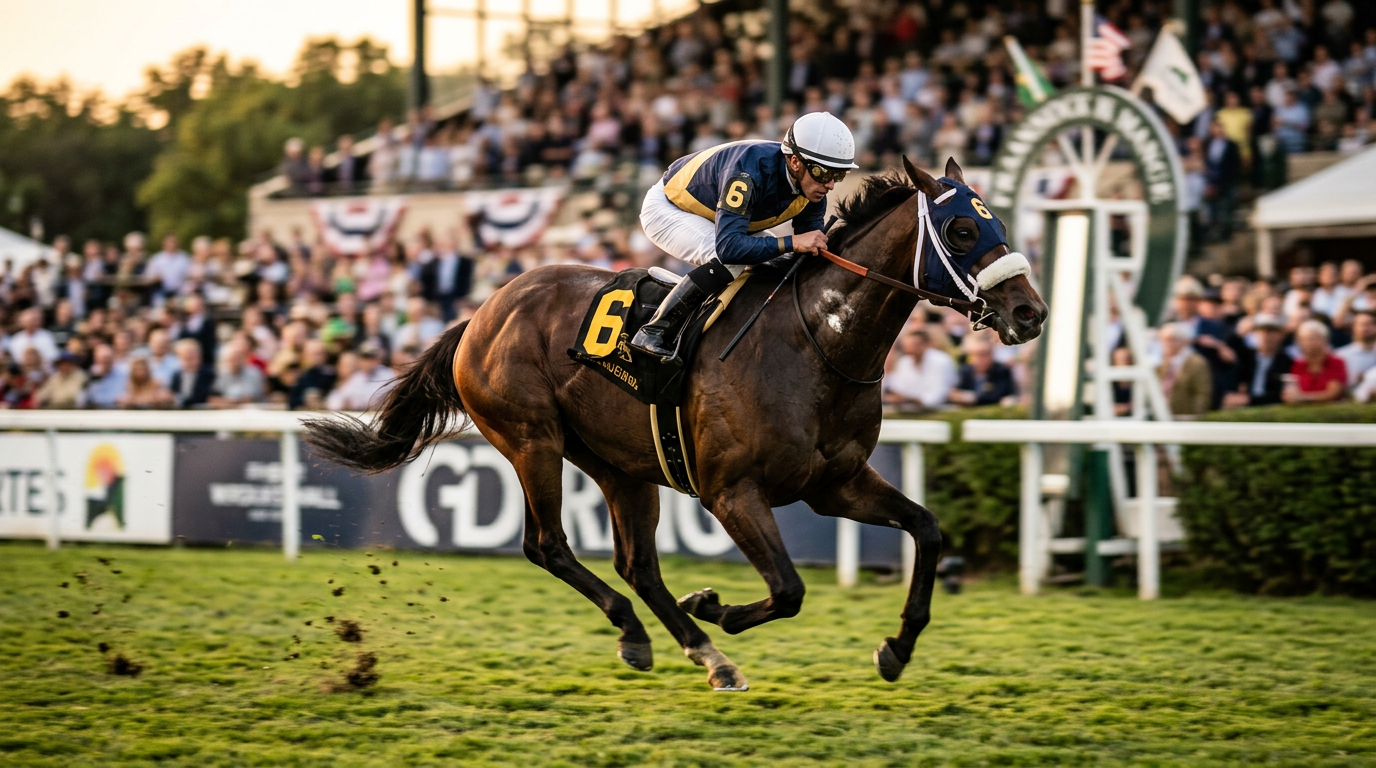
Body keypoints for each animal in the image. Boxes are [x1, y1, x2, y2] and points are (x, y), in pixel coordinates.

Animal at [304, 157, 1048, 691]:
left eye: (999, 225)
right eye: (961, 231)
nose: (1030, 313)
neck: (819, 342)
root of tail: (481, 313)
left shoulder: (834, 482)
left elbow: (927, 528)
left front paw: (896, 647)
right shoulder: (730, 491)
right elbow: (789, 589)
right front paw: (715, 604)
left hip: (621, 465)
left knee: (636, 563)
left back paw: (697, 652)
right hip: (530, 439)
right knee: (547, 545)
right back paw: (656, 635)